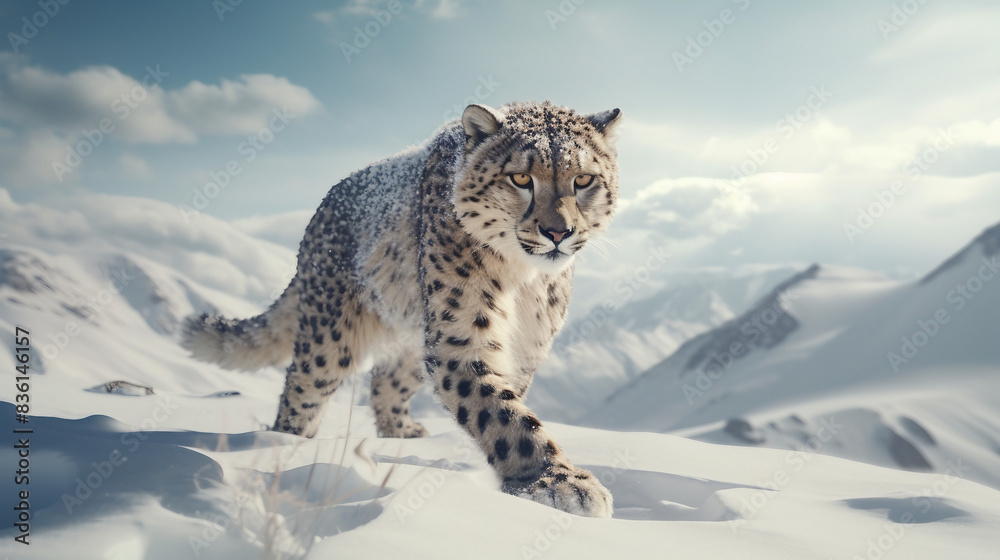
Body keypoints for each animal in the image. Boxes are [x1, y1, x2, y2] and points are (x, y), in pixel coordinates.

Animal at [181, 101, 623, 517]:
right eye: (520, 178)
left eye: (583, 179)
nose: (558, 232)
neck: (524, 281)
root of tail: (319, 212)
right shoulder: (461, 339)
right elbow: (502, 415)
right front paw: (558, 483)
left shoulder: (526, 347)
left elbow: (509, 402)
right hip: (332, 333)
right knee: (303, 384)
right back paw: (286, 443)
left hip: (413, 336)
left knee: (385, 380)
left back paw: (400, 434)